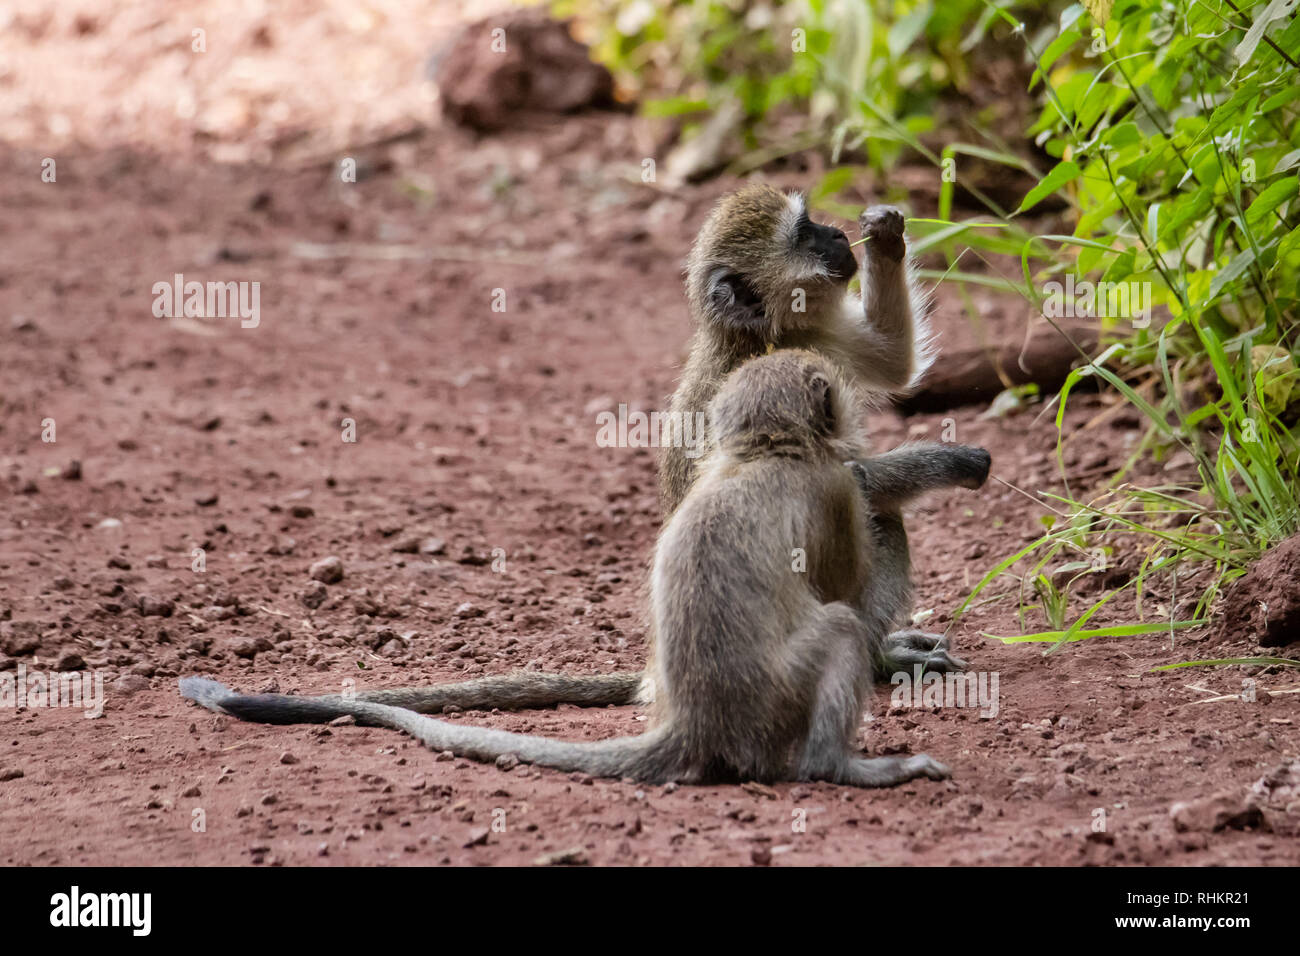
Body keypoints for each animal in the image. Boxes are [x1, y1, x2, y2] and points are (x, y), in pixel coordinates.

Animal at [183, 348, 951, 785]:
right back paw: (841, 767)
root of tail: (696, 723)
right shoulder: (831, 487)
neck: (765, 453)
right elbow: (846, 577)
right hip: (774, 705)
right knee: (841, 628)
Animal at [236, 180, 982, 717]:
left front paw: (887, 230)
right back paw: (878, 660)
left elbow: (891, 364)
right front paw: (950, 461)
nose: (833, 233)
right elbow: (832, 477)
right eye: (801, 233)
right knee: (873, 513)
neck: (766, 335)